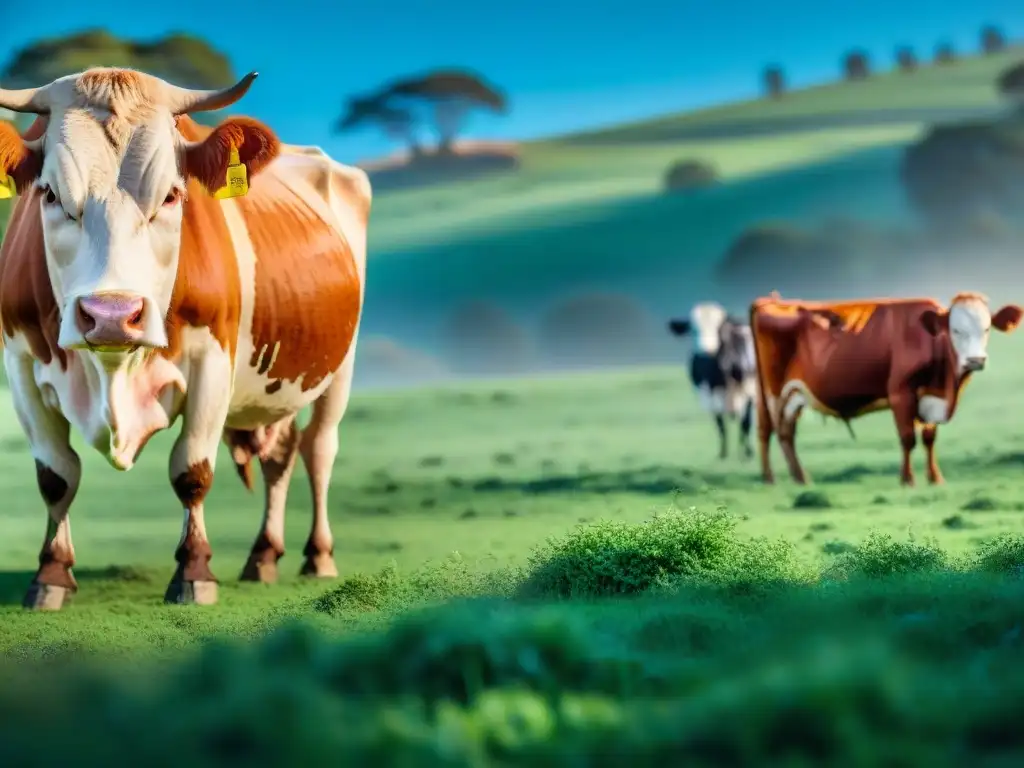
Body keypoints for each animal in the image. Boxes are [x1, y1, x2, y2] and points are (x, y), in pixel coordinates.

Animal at [0, 70, 374, 614]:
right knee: (280, 456)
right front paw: (51, 575)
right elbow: (56, 474)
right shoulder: (21, 364)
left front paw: (194, 573)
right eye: (49, 195)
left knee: (319, 449)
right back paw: (263, 555)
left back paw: (318, 556)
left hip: (338, 367)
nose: (112, 316)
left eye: (172, 196)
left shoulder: (212, 361)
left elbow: (191, 469)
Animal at [667, 303, 757, 460]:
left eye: (719, 328)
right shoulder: (709, 395)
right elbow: (720, 424)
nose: (706, 350)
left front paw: (748, 452)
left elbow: (746, 423)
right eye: (693, 330)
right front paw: (723, 453)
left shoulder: (749, 391)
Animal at [749, 292, 1019, 487]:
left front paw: (934, 478)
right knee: (782, 432)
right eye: (956, 330)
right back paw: (794, 477)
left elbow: (929, 439)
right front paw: (907, 479)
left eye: (986, 329)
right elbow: (908, 438)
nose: (975, 360)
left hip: (779, 394)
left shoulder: (929, 397)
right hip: (777, 393)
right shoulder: (901, 394)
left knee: (769, 431)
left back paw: (777, 477)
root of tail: (770, 302)